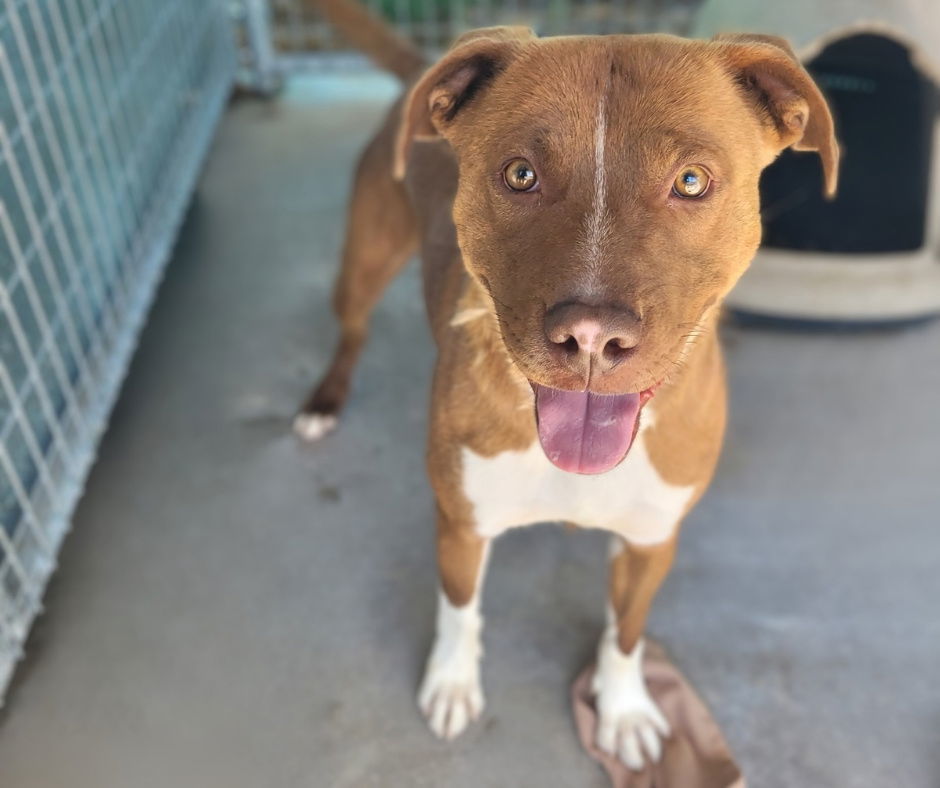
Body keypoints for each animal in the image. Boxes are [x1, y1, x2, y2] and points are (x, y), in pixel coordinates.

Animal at [294, 1, 836, 768]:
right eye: (521, 174)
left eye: (691, 181)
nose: (590, 338)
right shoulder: (462, 522)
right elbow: (459, 610)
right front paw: (452, 683)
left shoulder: (651, 540)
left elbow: (626, 633)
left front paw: (626, 710)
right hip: (364, 258)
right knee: (352, 328)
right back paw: (324, 401)